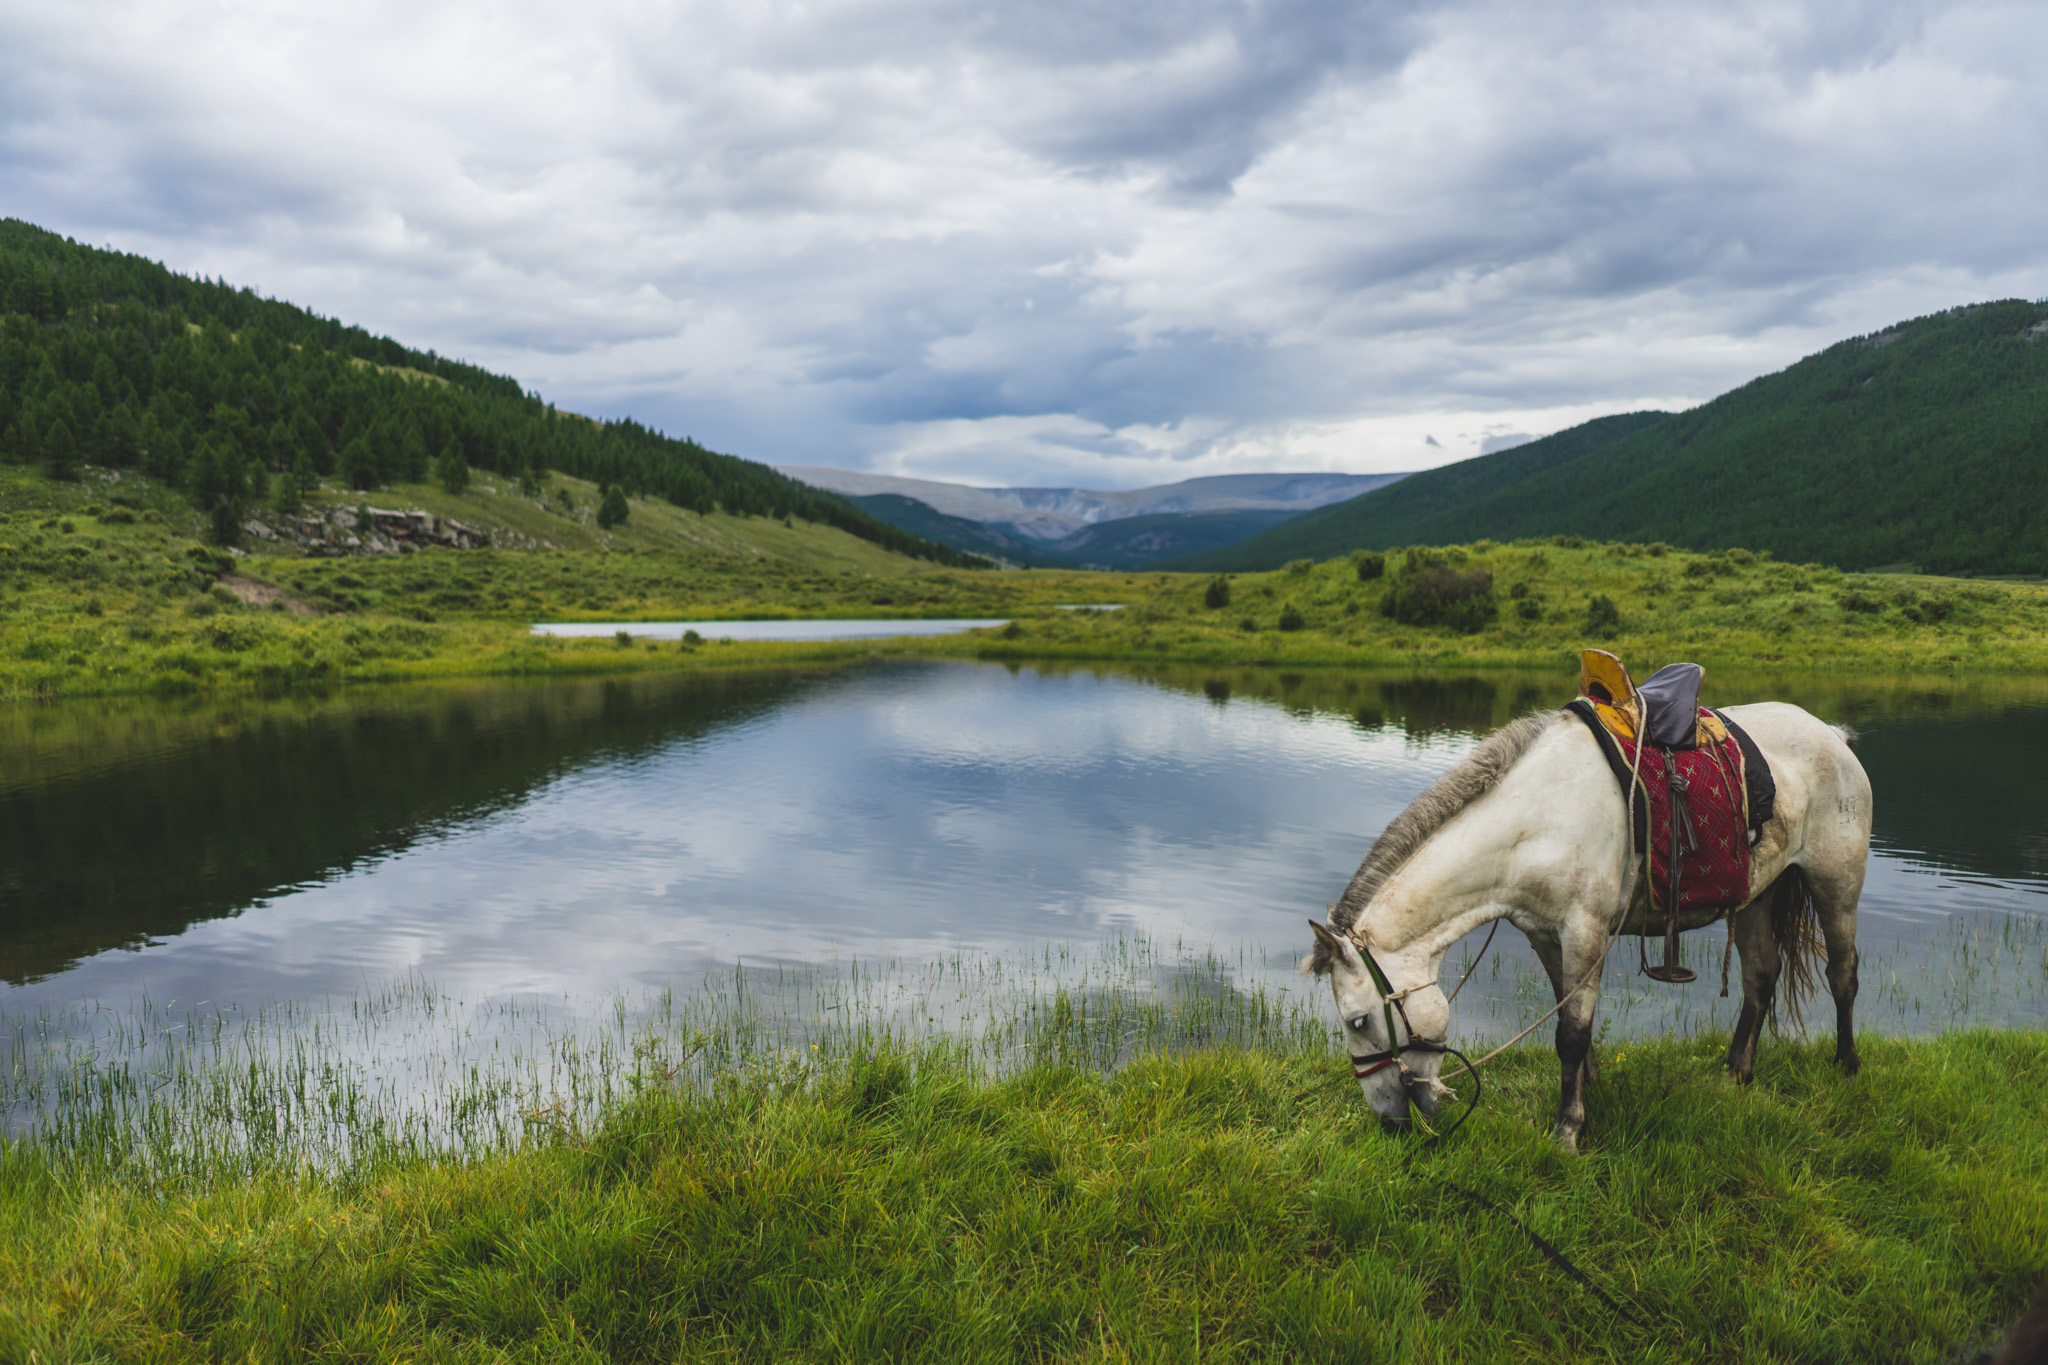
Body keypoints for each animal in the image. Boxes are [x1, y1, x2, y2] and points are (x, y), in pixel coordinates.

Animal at [1310, 703, 1875, 1154]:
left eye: (1357, 1021)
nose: (1388, 1123)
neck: (1536, 821)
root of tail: (1832, 734)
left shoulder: (1584, 931)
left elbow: (1572, 1033)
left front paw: (1568, 1130)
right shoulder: (1544, 935)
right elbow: (1568, 1016)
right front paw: (1589, 1092)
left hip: (1835, 884)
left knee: (1842, 974)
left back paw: (1846, 1066)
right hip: (1759, 894)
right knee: (1760, 976)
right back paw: (1736, 1075)